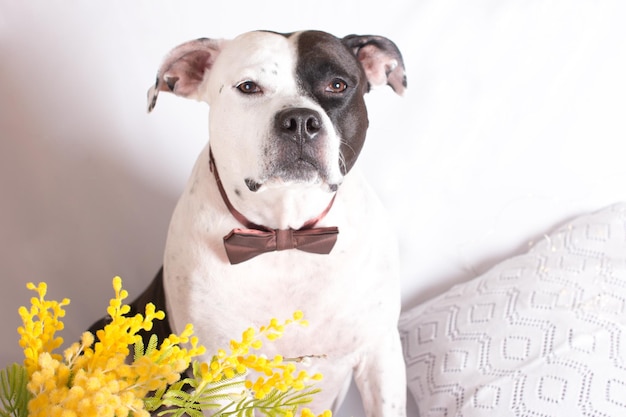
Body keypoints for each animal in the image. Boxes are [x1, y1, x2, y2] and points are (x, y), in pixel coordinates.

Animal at [95, 30, 404, 416]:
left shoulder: (381, 354)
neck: (286, 233)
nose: (300, 121)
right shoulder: (221, 376)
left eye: (337, 85)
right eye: (248, 87)